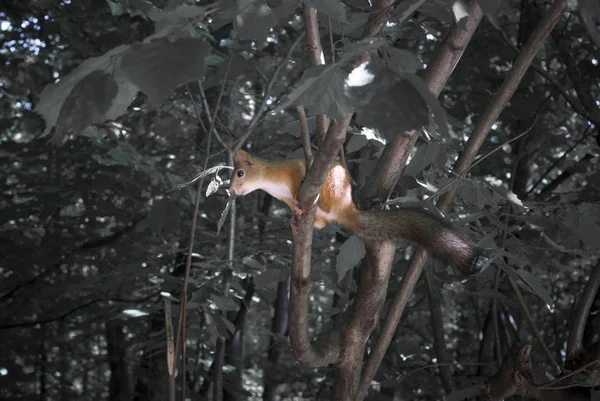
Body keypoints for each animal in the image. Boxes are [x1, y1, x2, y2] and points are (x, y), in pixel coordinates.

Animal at [231, 150, 482, 276]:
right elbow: (294, 207)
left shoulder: (291, 170)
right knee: (322, 223)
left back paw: (320, 200)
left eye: (240, 173)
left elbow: (298, 176)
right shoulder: (284, 199)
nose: (231, 190)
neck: (270, 183)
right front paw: (293, 220)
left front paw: (300, 205)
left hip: (334, 182)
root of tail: (347, 207)